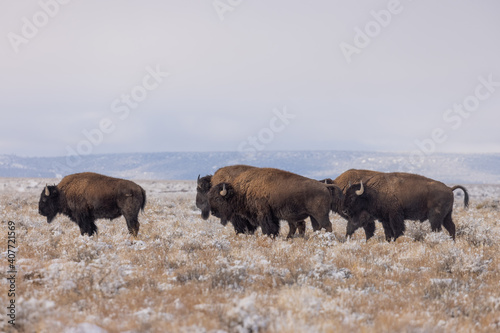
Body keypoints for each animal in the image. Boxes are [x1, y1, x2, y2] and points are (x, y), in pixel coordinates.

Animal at [205, 167, 342, 237]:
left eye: (217, 198)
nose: (213, 212)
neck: (241, 191)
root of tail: (324, 186)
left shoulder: (264, 214)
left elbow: (268, 228)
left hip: (321, 214)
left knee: (327, 225)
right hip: (313, 216)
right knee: (316, 227)